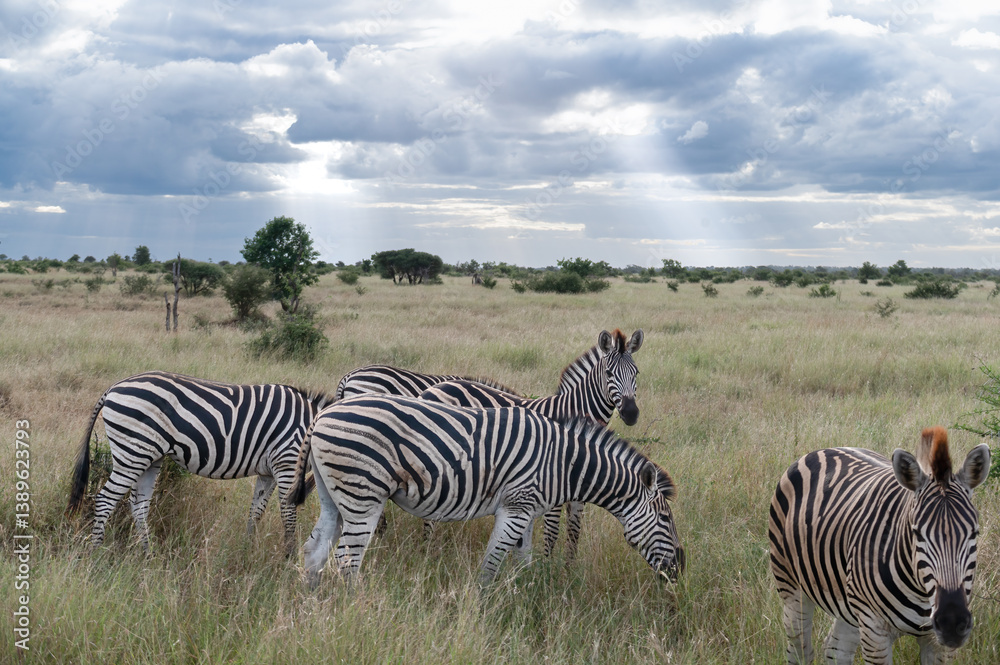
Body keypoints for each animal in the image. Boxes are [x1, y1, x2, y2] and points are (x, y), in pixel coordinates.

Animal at [67, 371, 335, 555]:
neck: (310, 426)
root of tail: (114, 387)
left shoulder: (268, 472)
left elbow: (255, 513)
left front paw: (247, 551)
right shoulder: (286, 462)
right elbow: (288, 515)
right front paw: (287, 559)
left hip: (149, 457)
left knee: (139, 506)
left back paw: (148, 555)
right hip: (132, 453)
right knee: (105, 500)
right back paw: (95, 554)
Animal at [286, 394, 682, 588]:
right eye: (665, 518)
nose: (680, 569)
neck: (563, 463)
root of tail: (323, 414)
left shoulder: (527, 511)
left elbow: (523, 559)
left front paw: (525, 595)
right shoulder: (516, 507)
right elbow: (491, 563)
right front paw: (482, 604)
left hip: (334, 495)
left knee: (315, 549)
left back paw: (314, 605)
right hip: (363, 493)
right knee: (346, 559)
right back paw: (358, 607)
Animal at [419, 328, 643, 560]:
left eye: (636, 373)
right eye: (608, 373)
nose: (631, 413)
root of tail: (432, 388)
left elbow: (574, 530)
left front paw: (569, 567)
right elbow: (552, 530)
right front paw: (546, 565)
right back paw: (427, 551)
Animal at [768, 427, 991, 664]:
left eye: (974, 533)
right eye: (917, 533)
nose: (952, 623)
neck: (921, 593)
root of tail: (825, 449)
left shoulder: (936, 643)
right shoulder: (875, 631)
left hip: (850, 604)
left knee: (835, 648)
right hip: (791, 587)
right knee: (800, 649)